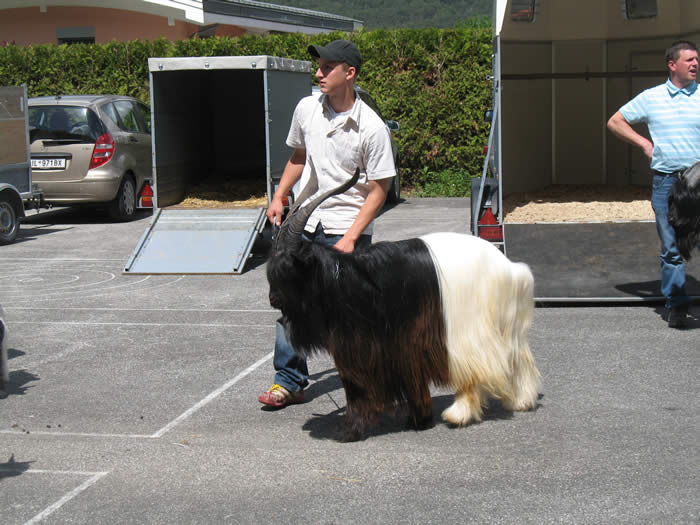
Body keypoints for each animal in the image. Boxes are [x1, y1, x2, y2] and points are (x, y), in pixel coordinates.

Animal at [268, 170, 540, 440]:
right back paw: (522, 401)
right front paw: (419, 419)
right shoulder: (397, 346)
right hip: (503, 321)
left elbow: (358, 387)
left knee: (474, 368)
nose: (273, 299)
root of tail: (508, 267)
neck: (345, 282)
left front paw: (349, 429)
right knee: (517, 356)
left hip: (468, 326)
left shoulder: (378, 347)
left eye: (288, 270)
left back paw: (459, 414)